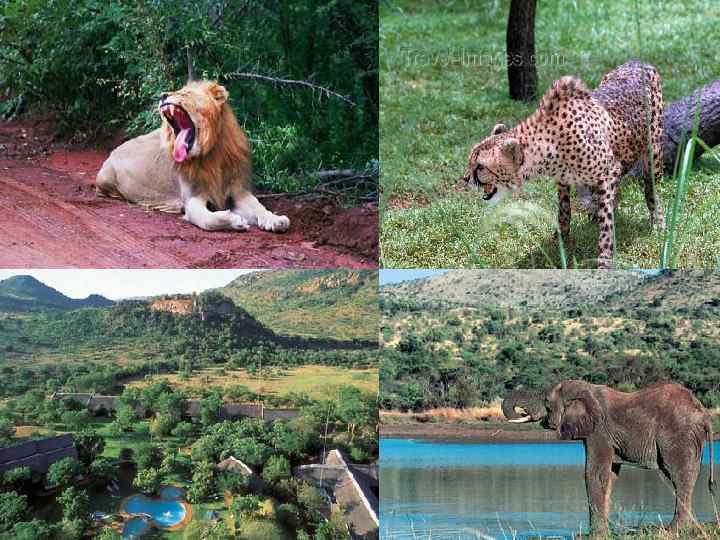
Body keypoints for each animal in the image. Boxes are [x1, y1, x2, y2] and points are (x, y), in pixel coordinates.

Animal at [95, 80, 290, 232]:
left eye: (185, 93)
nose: (162, 95)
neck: (212, 154)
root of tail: (114, 150)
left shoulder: (238, 190)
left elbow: (258, 207)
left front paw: (276, 220)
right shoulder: (193, 198)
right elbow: (208, 220)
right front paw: (234, 220)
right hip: (104, 178)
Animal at [464, 60, 668, 268]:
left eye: (480, 166)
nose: (465, 179)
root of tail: (636, 62)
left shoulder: (609, 172)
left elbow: (606, 223)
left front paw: (604, 258)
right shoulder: (563, 180)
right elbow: (564, 210)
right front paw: (561, 238)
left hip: (653, 151)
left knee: (650, 190)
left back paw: (658, 222)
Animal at [500, 380, 716, 536]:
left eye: (546, 402)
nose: (522, 411)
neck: (585, 390)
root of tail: (704, 414)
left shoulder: (599, 432)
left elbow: (594, 474)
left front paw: (595, 536)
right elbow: (609, 476)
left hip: (678, 435)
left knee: (679, 475)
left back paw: (673, 530)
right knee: (688, 475)